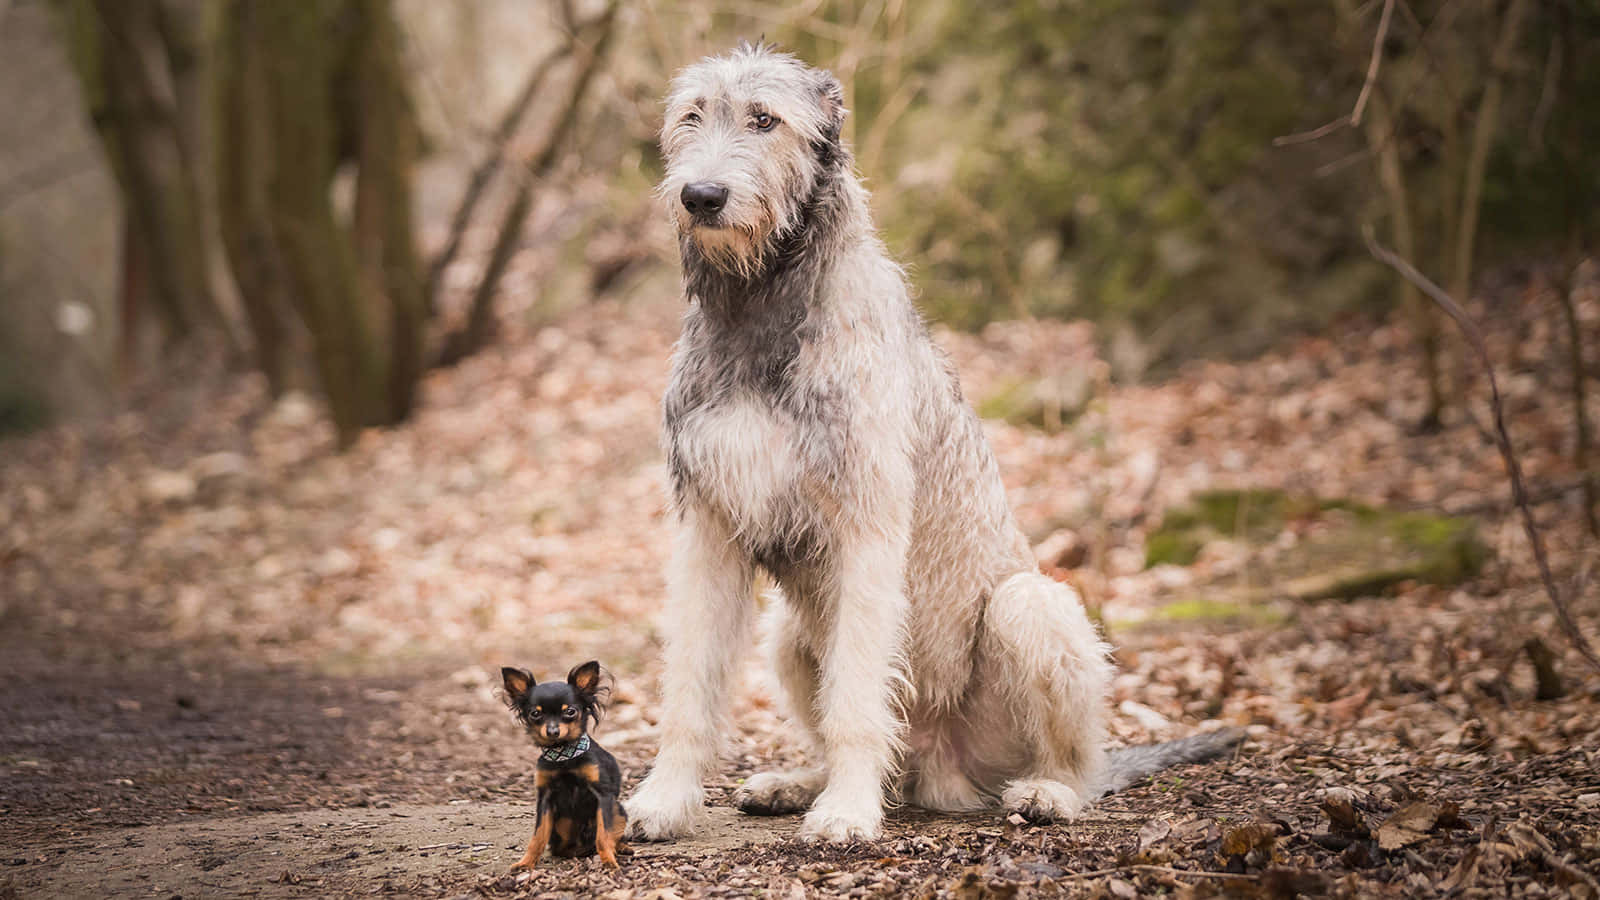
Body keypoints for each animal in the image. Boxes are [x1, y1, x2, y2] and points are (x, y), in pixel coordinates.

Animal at [502, 656, 627, 864]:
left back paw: (622, 848)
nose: (552, 731)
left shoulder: (604, 795)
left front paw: (609, 862)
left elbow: (604, 835)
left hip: (619, 810)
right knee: (562, 848)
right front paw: (525, 863)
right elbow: (538, 836)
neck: (564, 756)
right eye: (535, 713)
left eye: (570, 712)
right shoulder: (545, 798)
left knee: (611, 836)